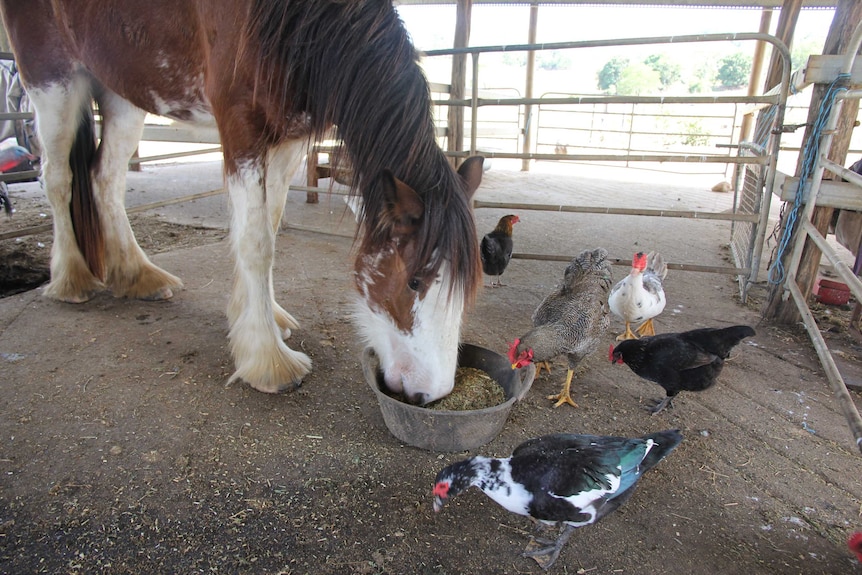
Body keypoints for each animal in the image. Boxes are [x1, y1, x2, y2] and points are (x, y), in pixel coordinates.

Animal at [0, 0, 482, 404]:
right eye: (414, 282)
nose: (432, 393)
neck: (295, 20)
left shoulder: (289, 137)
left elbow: (269, 227)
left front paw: (259, 318)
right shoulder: (239, 127)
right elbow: (255, 243)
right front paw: (268, 359)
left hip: (122, 91)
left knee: (106, 178)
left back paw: (138, 275)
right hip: (53, 82)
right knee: (58, 178)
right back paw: (72, 279)